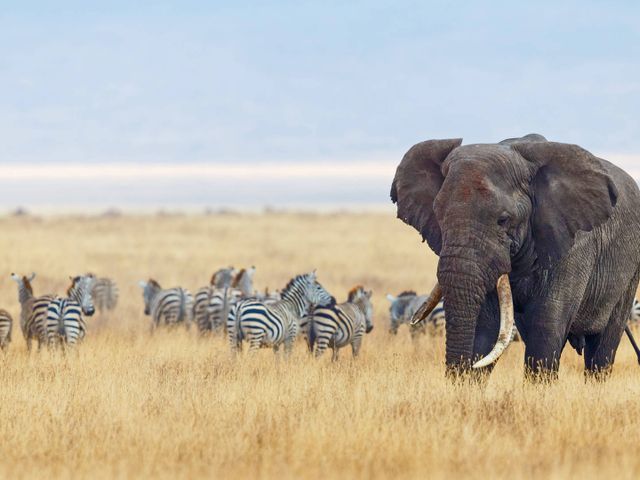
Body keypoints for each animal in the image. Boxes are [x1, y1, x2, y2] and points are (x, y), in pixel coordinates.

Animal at [390, 134, 640, 378]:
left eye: (503, 220)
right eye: (439, 216)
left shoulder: (573, 245)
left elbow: (546, 327)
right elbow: (485, 328)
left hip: (630, 272)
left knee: (601, 351)